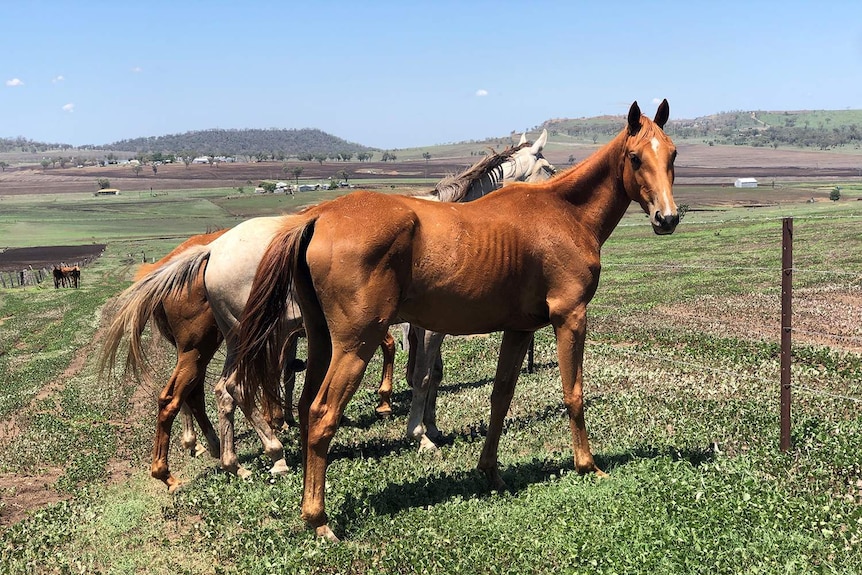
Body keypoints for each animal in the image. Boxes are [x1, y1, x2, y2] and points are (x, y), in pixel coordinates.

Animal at [236, 100, 680, 540]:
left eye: (673, 154)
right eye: (635, 157)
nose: (667, 218)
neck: (565, 213)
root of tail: (318, 217)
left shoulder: (518, 329)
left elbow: (500, 397)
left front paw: (490, 472)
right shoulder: (570, 317)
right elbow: (573, 393)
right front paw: (587, 465)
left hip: (322, 341)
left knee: (305, 406)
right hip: (356, 344)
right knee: (322, 413)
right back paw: (319, 518)